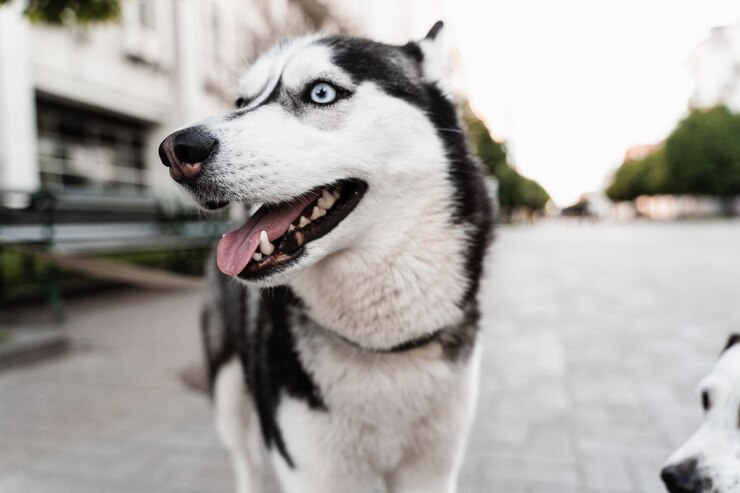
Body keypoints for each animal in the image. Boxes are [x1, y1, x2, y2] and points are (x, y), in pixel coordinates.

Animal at [158, 22, 492, 492]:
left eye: (321, 92)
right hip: (229, 396)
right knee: (247, 461)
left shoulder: (432, 470)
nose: (175, 150)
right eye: (242, 102)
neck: (381, 347)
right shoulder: (314, 469)